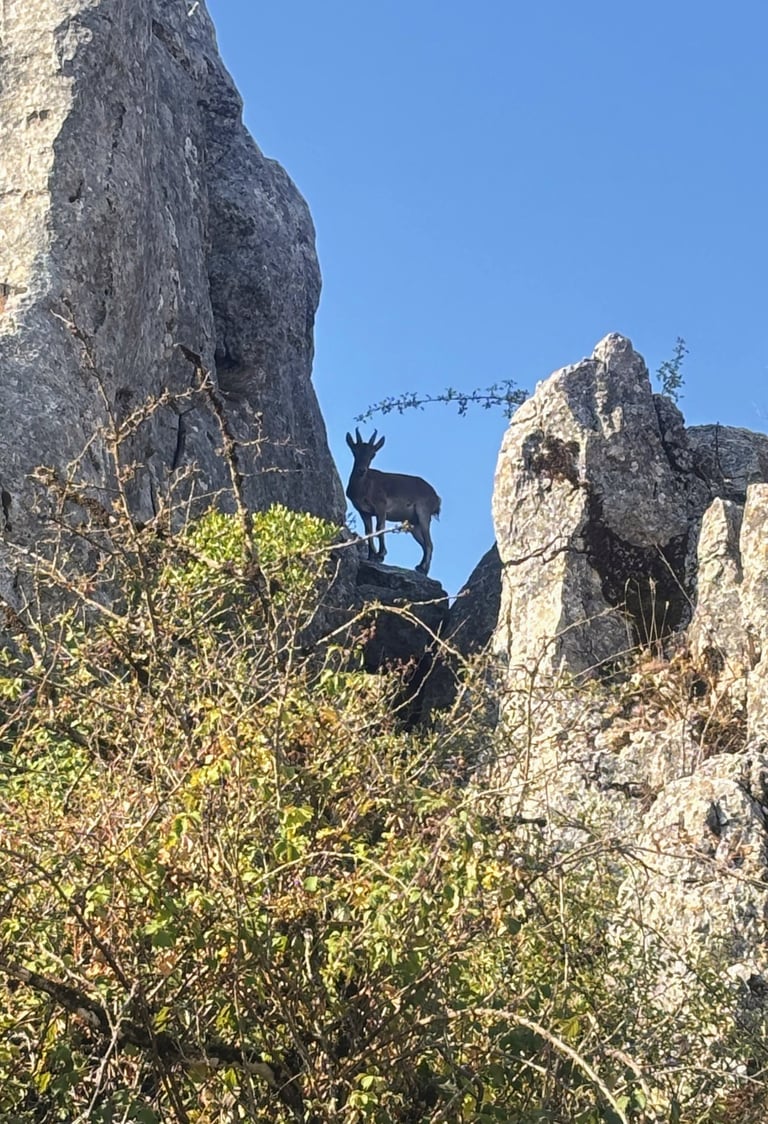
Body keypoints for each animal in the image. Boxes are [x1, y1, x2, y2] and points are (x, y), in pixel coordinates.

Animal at [345, 428, 441, 575]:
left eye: (373, 454)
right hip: (414, 524)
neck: (364, 487)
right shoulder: (364, 511)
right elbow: (369, 531)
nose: (362, 470)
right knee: (425, 543)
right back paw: (420, 567)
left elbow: (379, 528)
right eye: (355, 451)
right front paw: (371, 556)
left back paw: (423, 569)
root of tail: (436, 498)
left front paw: (381, 555)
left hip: (423, 513)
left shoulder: (381, 506)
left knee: (429, 543)